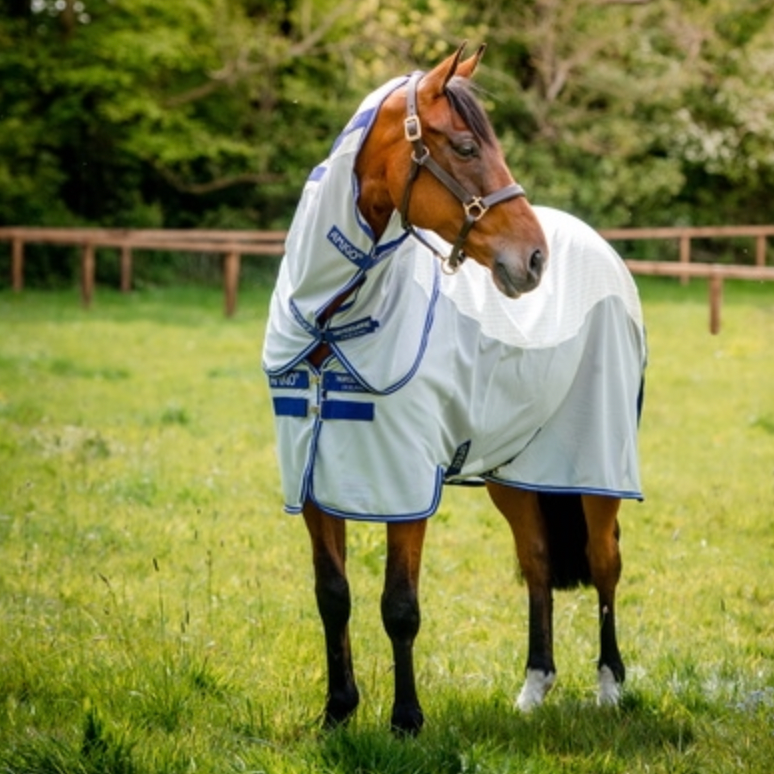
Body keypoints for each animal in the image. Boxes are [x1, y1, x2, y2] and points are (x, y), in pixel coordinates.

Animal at [262, 43, 646, 735]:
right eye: (466, 147)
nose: (534, 259)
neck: (330, 321)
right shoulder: (313, 483)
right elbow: (333, 596)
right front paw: (338, 711)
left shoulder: (403, 485)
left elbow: (399, 605)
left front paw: (406, 721)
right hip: (516, 475)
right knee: (538, 562)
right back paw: (533, 688)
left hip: (597, 471)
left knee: (605, 564)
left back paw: (609, 686)